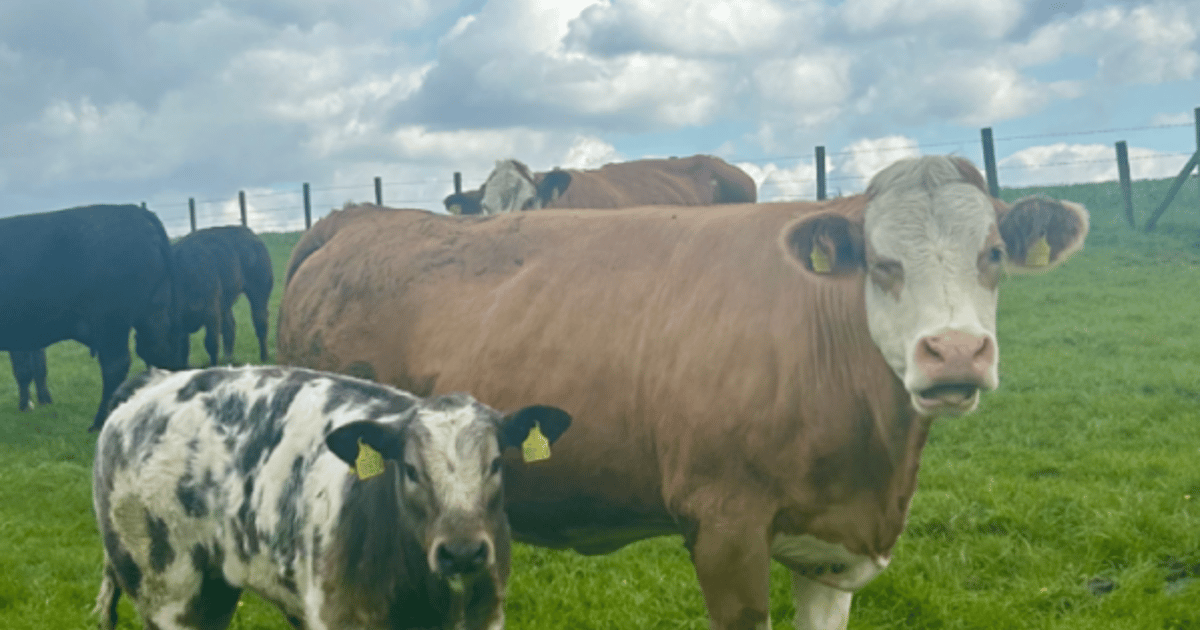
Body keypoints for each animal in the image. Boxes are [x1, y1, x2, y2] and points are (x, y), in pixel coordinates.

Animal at [0, 204, 184, 430]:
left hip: (111, 321)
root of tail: (133, 211)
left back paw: (100, 421)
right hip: (153, 312)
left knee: (116, 365)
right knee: (161, 352)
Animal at [92, 365, 571, 630]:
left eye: (496, 463)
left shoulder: (484, 617)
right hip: (169, 596)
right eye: (410, 470)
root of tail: (154, 382)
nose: (462, 552)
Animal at [173, 225, 274, 367]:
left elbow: (211, 343)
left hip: (259, 294)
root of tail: (250, 233)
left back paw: (264, 357)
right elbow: (185, 349)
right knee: (230, 327)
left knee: (260, 321)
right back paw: (228, 359)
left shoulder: (211, 313)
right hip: (225, 305)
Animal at [277, 155, 1089, 629]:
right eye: (882, 262)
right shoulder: (725, 529)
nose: (955, 353)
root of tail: (353, 218)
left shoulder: (831, 551)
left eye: (993, 254)